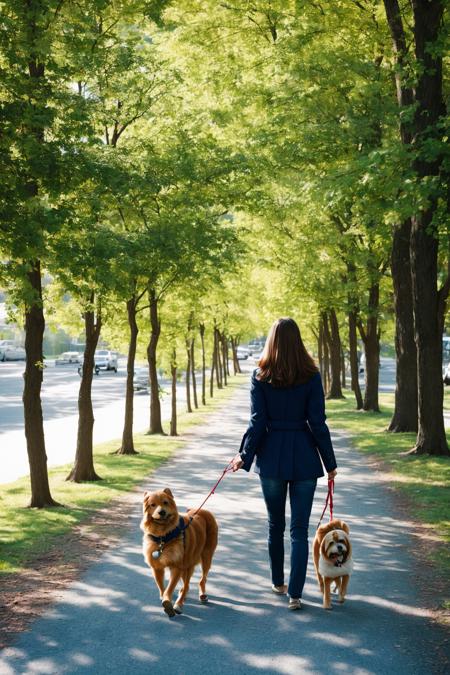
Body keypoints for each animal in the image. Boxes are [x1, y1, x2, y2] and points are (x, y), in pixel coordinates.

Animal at [141, 488, 218, 620]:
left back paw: (185, 601)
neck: (164, 536)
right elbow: (161, 586)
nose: (162, 512)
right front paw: (164, 598)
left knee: (199, 580)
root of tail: (204, 511)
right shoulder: (157, 568)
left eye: (165, 502)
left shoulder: (177, 567)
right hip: (188, 566)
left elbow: (170, 588)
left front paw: (168, 603)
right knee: (186, 586)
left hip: (204, 557)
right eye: (152, 505)